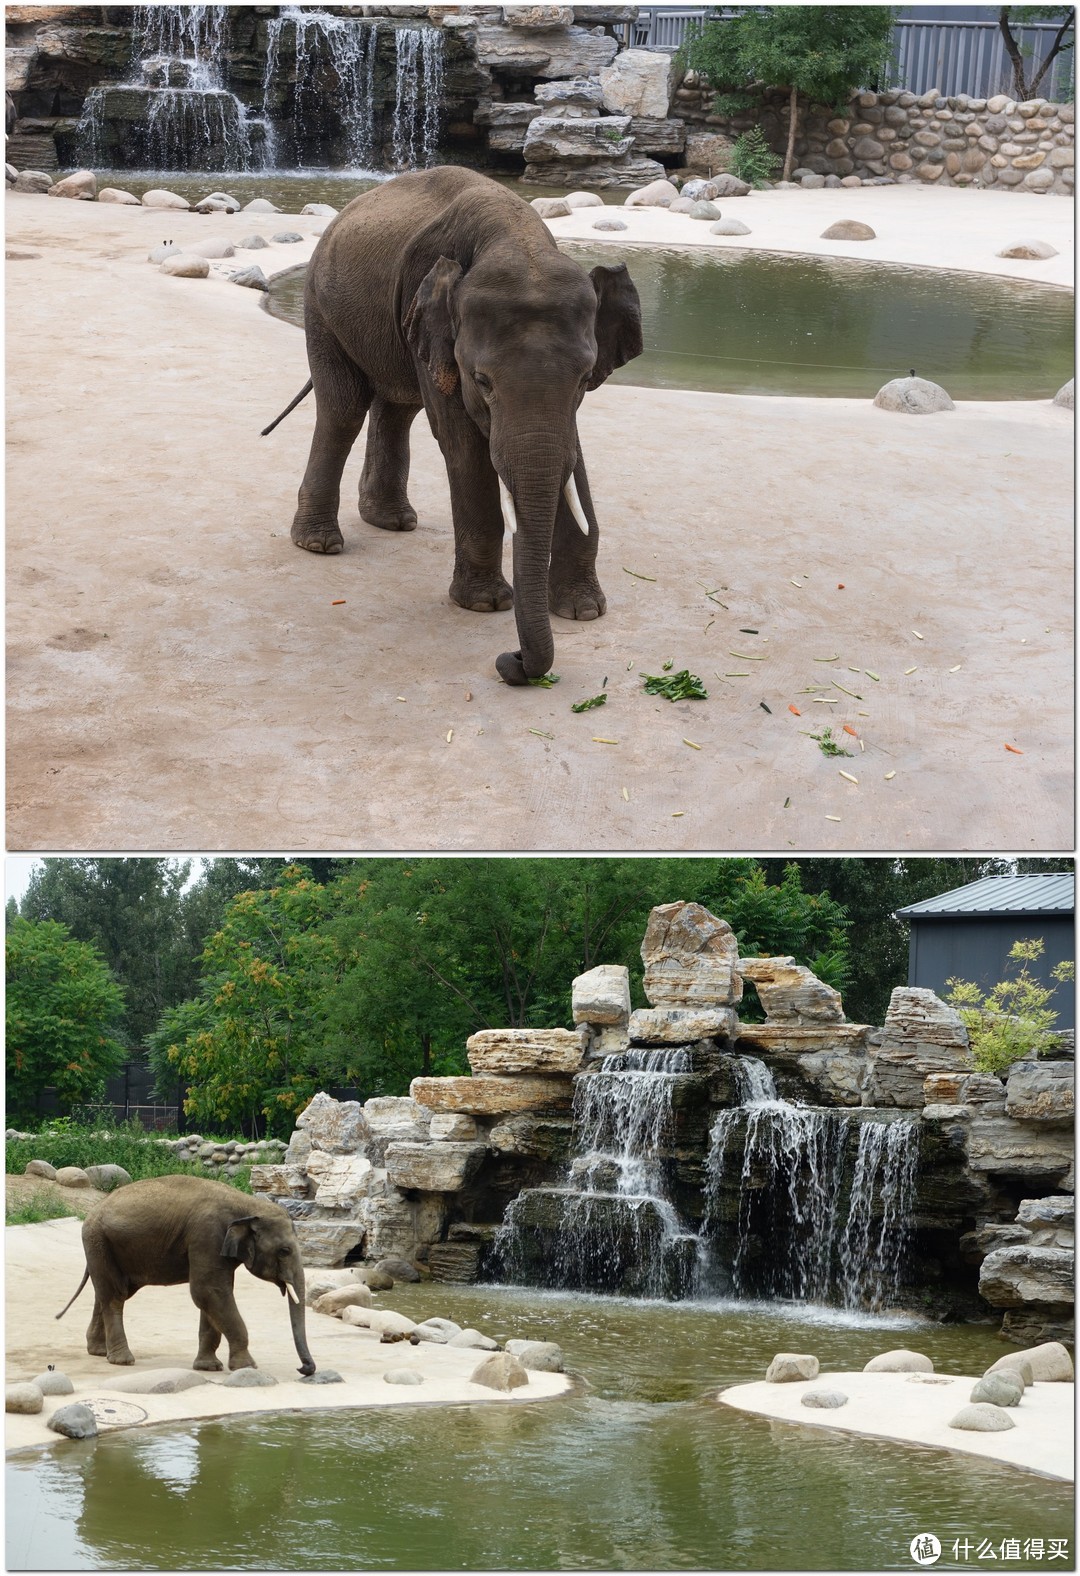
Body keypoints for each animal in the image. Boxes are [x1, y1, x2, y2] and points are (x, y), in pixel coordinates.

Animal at [55, 1178, 315, 1374]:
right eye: (284, 1251)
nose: (303, 1369)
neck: (248, 1204)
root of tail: (93, 1210)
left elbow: (212, 1296)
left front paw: (209, 1367)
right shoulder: (207, 1234)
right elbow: (208, 1291)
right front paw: (247, 1368)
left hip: (108, 1247)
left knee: (109, 1292)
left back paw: (99, 1351)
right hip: (98, 1241)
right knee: (115, 1295)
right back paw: (122, 1360)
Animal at [264, 163, 643, 687]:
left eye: (587, 378)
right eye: (481, 380)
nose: (512, 661)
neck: (516, 237)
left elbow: (572, 456)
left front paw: (584, 610)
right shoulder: (427, 312)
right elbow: (462, 445)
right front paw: (485, 605)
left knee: (396, 405)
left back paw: (392, 521)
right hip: (322, 306)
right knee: (343, 408)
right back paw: (320, 544)